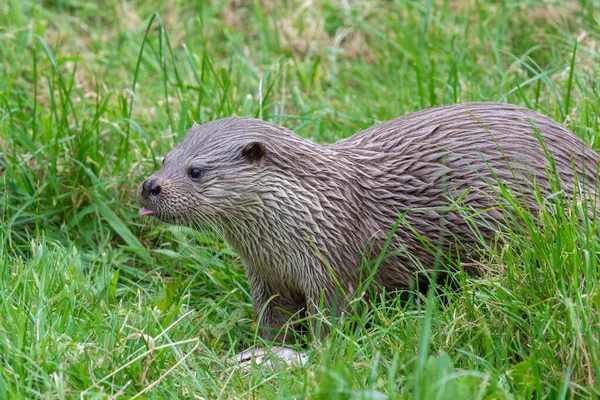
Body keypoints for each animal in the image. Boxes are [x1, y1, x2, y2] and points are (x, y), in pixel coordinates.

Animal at [138, 102, 600, 340]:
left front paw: (316, 359)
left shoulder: (334, 266)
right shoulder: (266, 277)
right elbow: (272, 322)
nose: (149, 186)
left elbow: (333, 321)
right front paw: (266, 351)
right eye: (165, 158)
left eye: (196, 171)